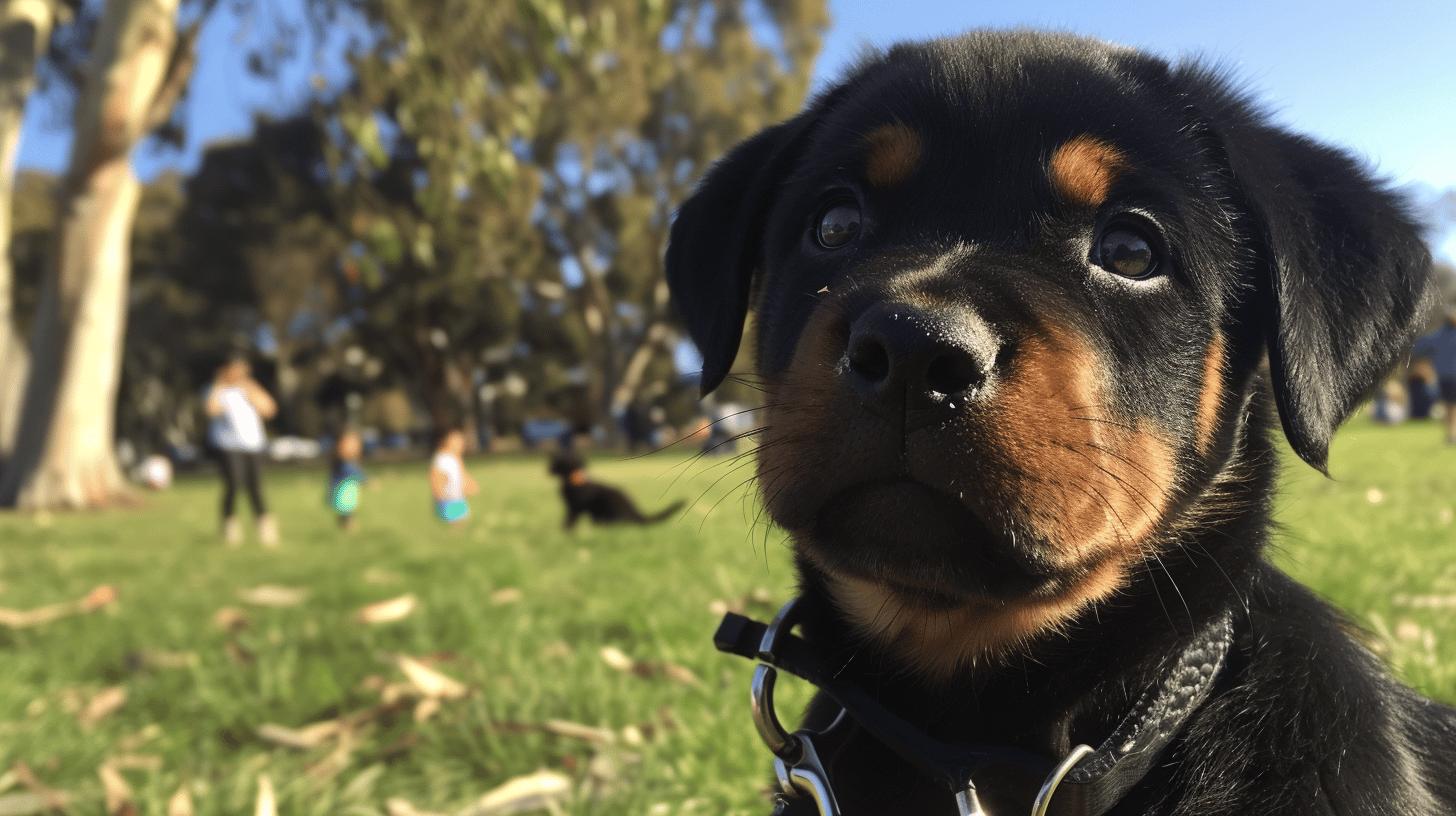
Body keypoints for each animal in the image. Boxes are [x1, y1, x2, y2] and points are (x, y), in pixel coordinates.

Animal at [547, 448, 684, 533]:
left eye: (554, 464)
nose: (547, 471)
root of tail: (635, 511)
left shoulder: (575, 506)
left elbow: (570, 520)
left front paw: (565, 533)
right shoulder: (571, 506)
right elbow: (568, 520)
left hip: (610, 508)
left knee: (621, 523)